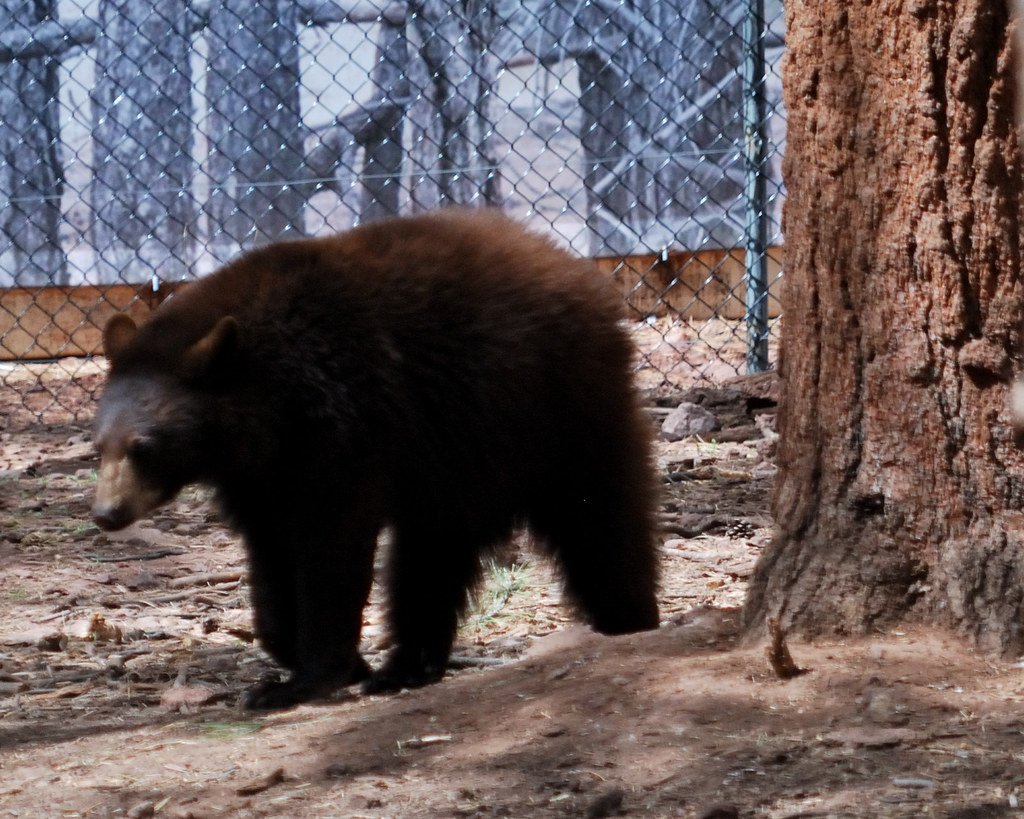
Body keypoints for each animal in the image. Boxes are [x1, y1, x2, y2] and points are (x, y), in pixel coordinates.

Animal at [91, 209, 660, 710]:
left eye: (144, 446)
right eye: (98, 445)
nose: (106, 513)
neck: (270, 401)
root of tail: (579, 272)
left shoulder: (345, 427)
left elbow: (331, 549)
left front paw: (305, 680)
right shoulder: (259, 476)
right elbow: (271, 559)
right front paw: (317, 661)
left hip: (559, 410)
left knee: (601, 520)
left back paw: (629, 619)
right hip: (459, 465)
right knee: (430, 560)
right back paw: (404, 668)